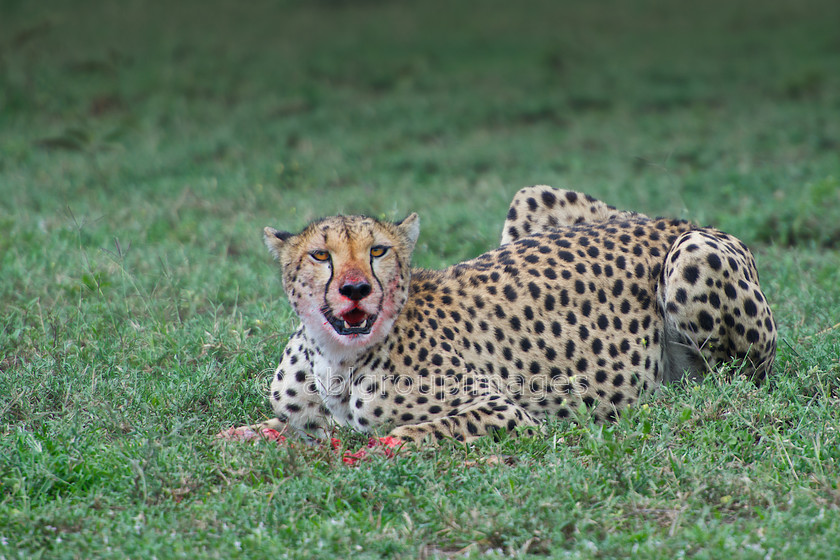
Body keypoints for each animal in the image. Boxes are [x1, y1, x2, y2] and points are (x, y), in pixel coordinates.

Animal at [228, 186, 776, 444]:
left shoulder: (507, 412)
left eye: (378, 251)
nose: (355, 288)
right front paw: (249, 433)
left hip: (692, 256)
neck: (335, 360)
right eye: (321, 255)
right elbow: (286, 424)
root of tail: (675, 220)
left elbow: (414, 431)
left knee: (735, 380)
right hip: (531, 197)